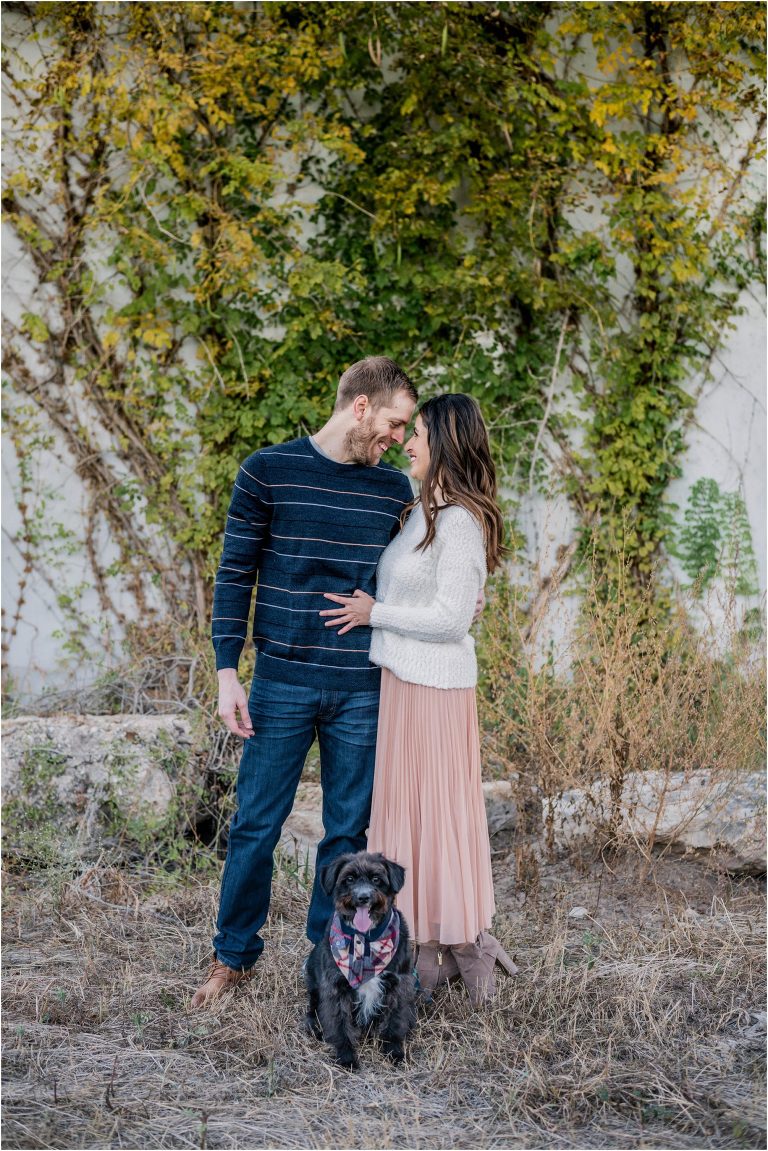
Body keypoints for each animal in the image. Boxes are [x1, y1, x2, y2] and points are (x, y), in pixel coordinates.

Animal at [303, 851, 416, 1063]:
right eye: (349, 879)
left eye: (376, 879)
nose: (363, 897)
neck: (364, 939)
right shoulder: (335, 987)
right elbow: (340, 1023)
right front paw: (346, 1055)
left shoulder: (398, 985)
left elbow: (394, 1021)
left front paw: (393, 1050)